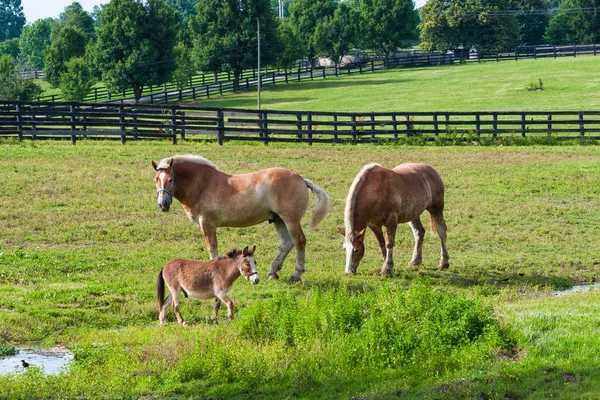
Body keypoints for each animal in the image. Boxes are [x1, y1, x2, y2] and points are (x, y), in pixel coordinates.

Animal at [149, 153, 328, 282]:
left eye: (171, 179)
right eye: (156, 180)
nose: (162, 204)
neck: (201, 184)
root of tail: (301, 179)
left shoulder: (207, 223)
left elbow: (212, 247)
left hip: (291, 220)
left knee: (299, 241)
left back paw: (295, 274)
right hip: (279, 220)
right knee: (286, 244)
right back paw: (272, 273)